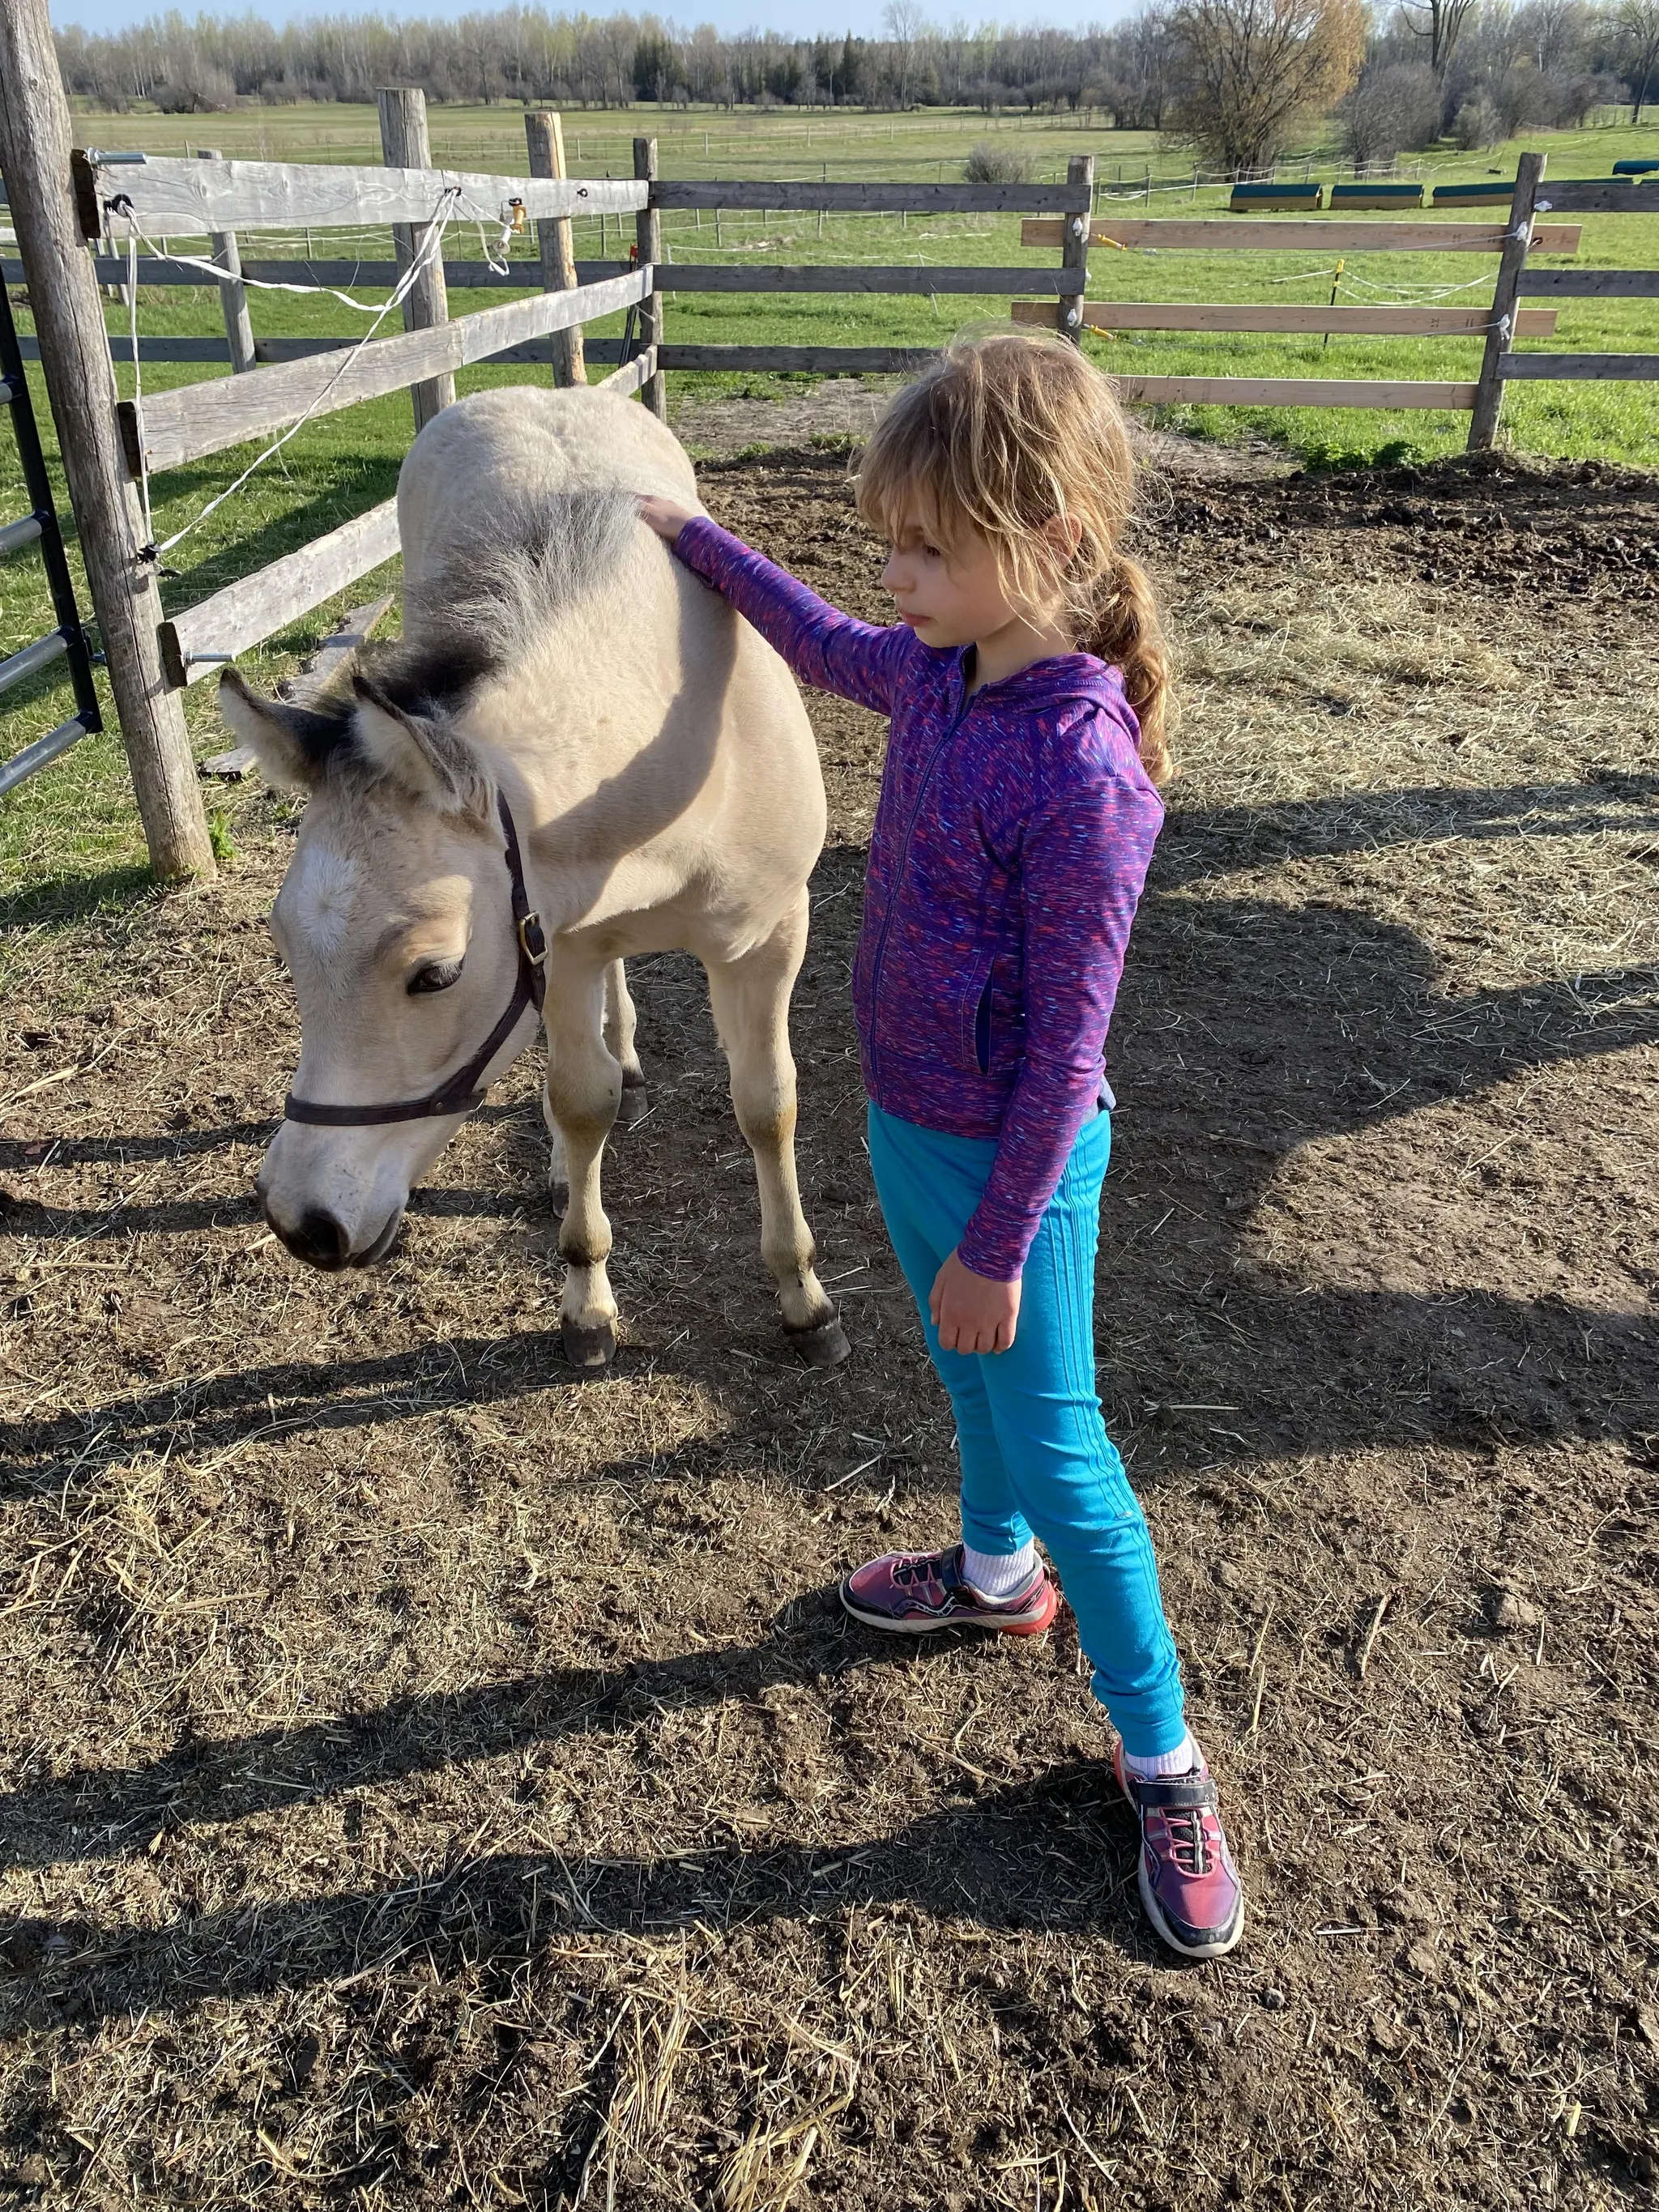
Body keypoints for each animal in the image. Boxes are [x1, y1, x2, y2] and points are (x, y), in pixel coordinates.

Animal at [217, 384, 847, 1372]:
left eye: (434, 973)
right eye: (284, 950)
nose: (300, 1222)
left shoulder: (772, 937)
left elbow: (768, 1106)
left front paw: (804, 1298)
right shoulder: (558, 947)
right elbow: (579, 1104)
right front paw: (586, 1298)